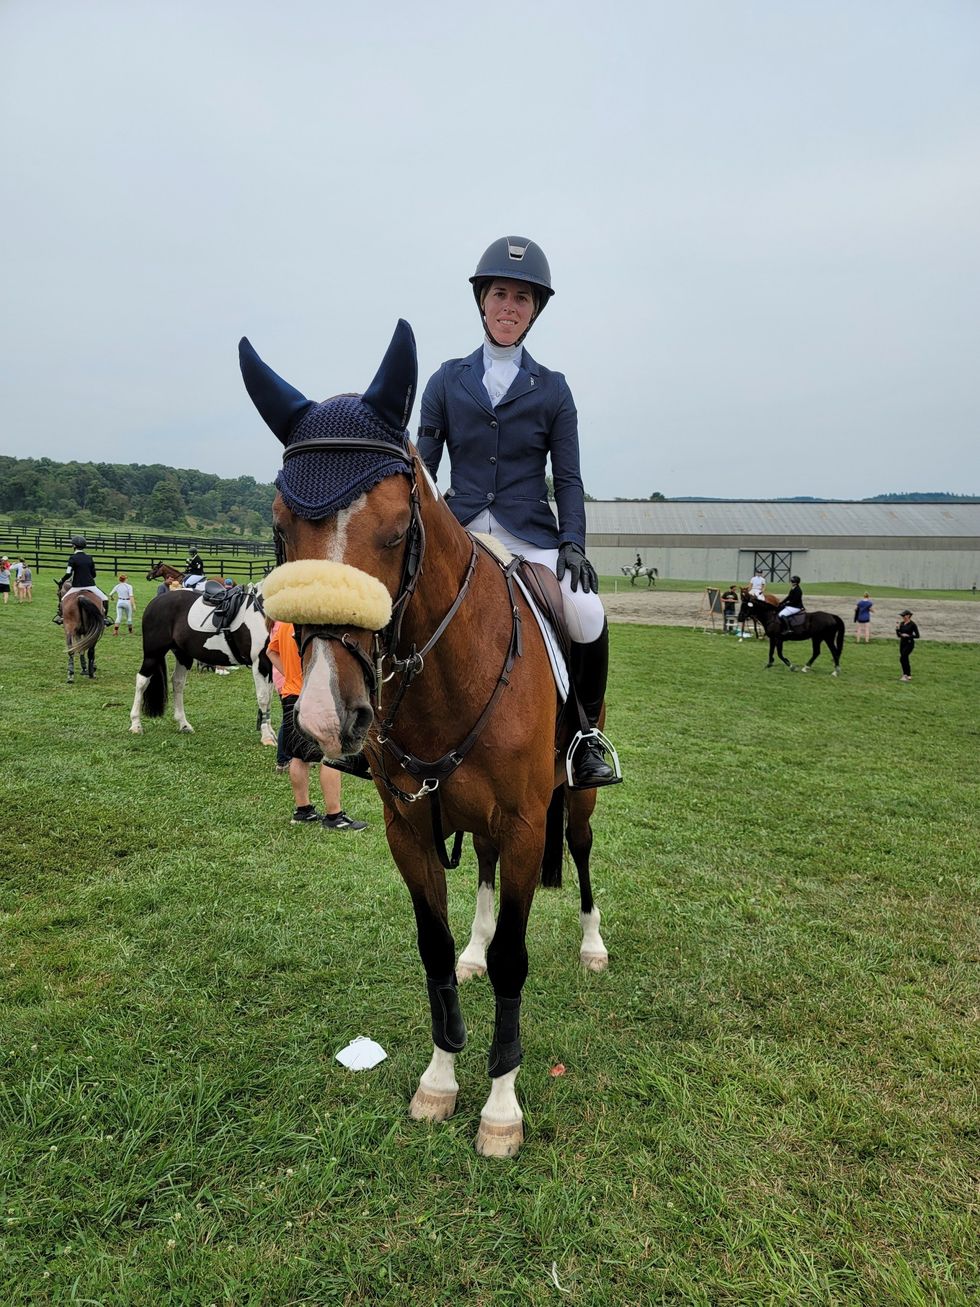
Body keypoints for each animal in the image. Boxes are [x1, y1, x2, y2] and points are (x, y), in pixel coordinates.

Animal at [129, 584, 276, 742]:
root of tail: (156, 601)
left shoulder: (270, 666)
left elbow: (269, 698)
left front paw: (271, 733)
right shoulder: (259, 662)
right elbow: (263, 697)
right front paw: (266, 737)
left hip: (183, 656)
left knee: (178, 682)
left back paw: (184, 724)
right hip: (153, 654)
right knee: (142, 681)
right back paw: (136, 724)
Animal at [241, 321, 610, 1158]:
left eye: (398, 529)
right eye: (279, 525)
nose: (323, 718)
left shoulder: (525, 819)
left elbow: (515, 959)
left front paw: (500, 1106)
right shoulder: (408, 826)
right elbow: (434, 948)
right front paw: (440, 1080)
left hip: (570, 797)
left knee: (579, 853)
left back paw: (592, 945)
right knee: (480, 877)